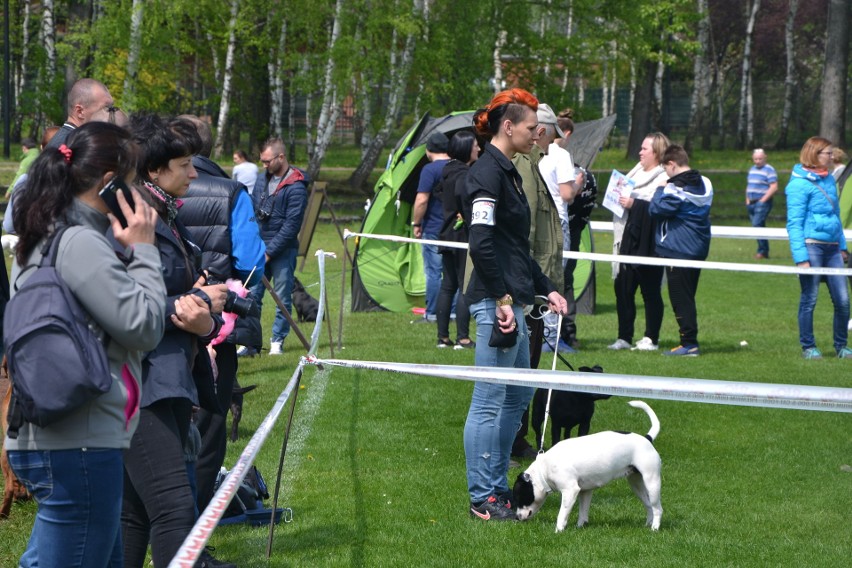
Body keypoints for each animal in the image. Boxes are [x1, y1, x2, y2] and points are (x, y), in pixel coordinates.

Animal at [510, 402, 664, 532]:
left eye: (519, 497)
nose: (516, 517)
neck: (544, 469)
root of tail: (647, 438)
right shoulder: (585, 491)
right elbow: (583, 512)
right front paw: (580, 527)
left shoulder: (570, 491)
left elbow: (562, 514)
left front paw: (558, 530)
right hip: (636, 484)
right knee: (649, 505)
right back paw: (648, 524)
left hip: (652, 483)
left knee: (657, 508)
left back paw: (655, 528)